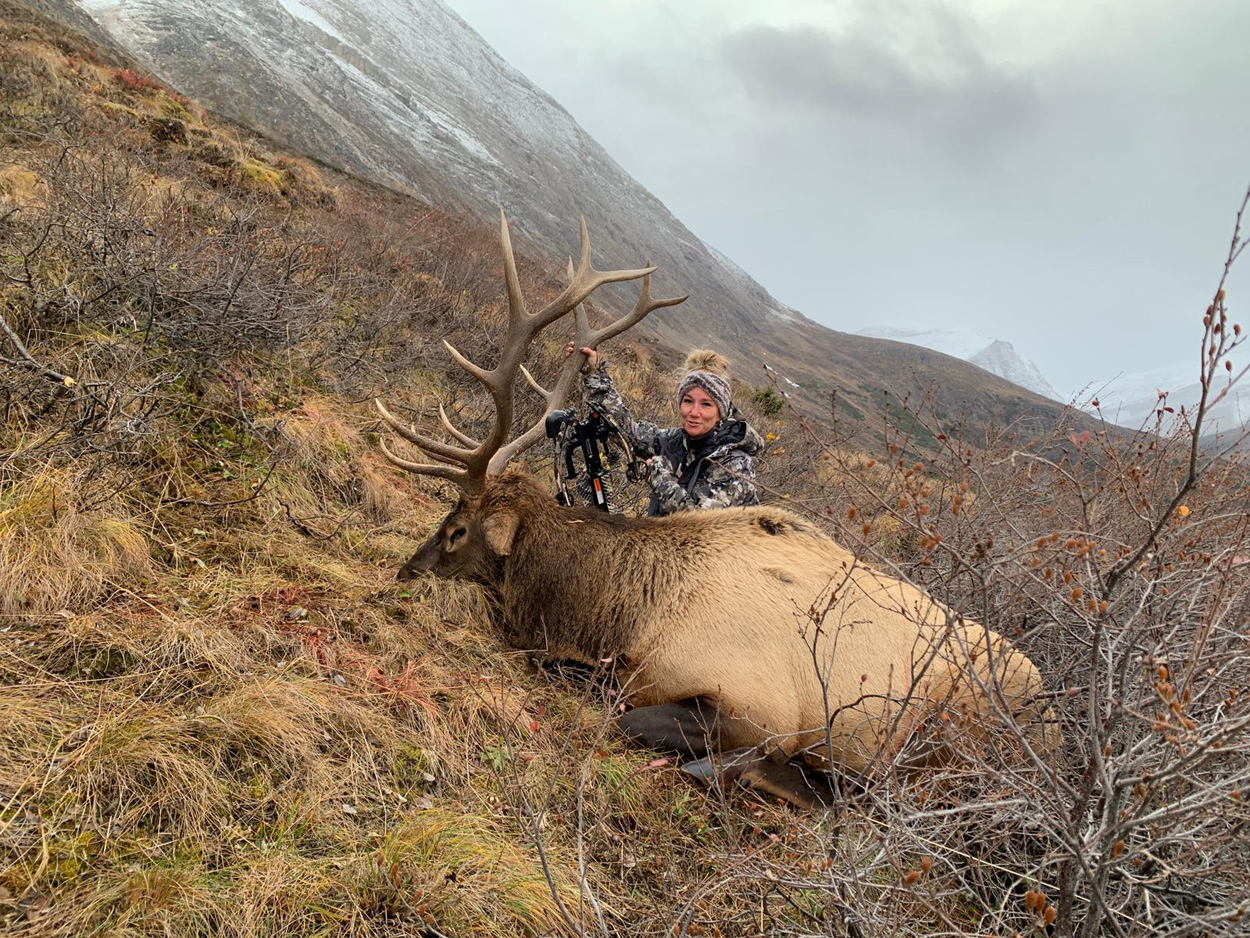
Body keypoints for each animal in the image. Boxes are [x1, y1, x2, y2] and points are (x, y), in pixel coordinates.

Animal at [375, 213, 1053, 808]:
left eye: (457, 529)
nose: (403, 572)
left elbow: (629, 716)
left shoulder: (761, 709)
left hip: (950, 747)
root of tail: (1052, 711)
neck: (627, 617)